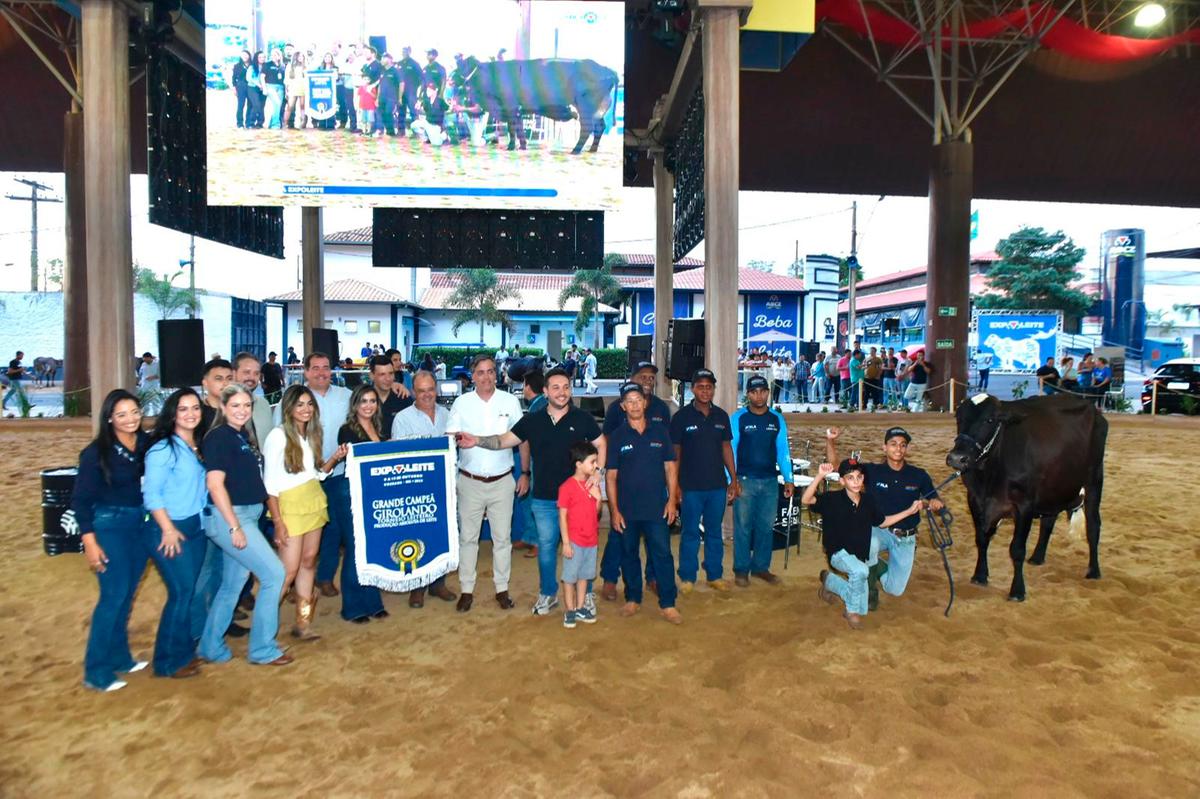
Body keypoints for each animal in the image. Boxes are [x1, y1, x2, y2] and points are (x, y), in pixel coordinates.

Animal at [453, 56, 614, 152]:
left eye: (461, 67)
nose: (450, 78)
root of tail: (606, 69)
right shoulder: (515, 110)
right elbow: (518, 129)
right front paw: (522, 146)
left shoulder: (510, 107)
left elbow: (513, 129)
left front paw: (511, 147)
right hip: (598, 111)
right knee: (600, 127)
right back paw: (592, 149)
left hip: (586, 108)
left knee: (587, 129)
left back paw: (575, 150)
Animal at [945, 391, 1104, 597]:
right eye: (959, 417)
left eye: (990, 419)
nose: (957, 458)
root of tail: (1093, 408)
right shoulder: (974, 499)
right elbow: (981, 538)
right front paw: (979, 575)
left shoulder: (1024, 505)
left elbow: (1017, 549)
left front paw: (1017, 590)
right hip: (1053, 488)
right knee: (1048, 521)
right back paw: (1037, 557)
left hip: (1094, 480)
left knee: (1093, 526)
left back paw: (1094, 570)